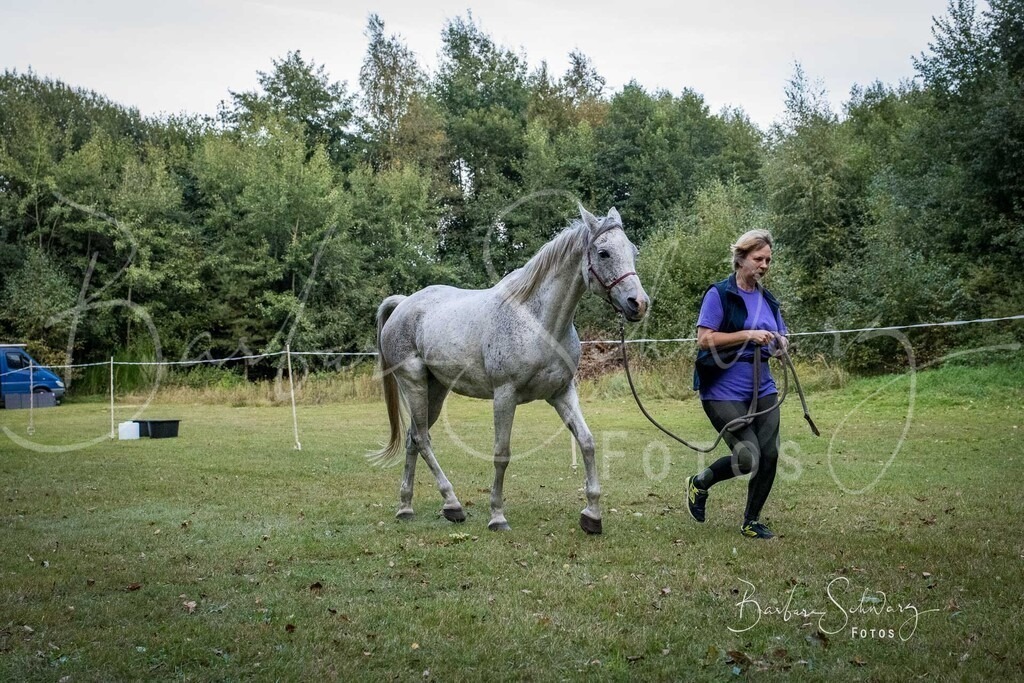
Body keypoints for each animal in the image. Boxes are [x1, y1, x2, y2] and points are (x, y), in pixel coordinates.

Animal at [372, 205, 649, 534]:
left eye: (633, 251)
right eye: (604, 253)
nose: (639, 303)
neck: (538, 322)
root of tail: (403, 304)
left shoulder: (562, 393)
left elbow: (587, 442)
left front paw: (592, 514)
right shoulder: (505, 395)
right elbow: (501, 454)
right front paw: (497, 516)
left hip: (435, 390)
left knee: (415, 437)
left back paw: (407, 507)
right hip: (414, 384)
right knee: (422, 439)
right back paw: (452, 503)